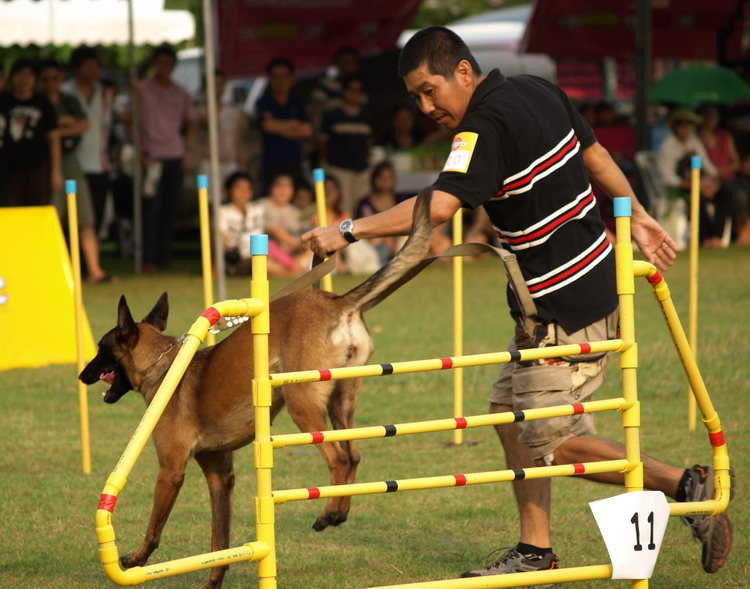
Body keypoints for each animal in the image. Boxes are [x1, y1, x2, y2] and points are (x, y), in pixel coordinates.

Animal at [80, 189, 435, 588]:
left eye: (101, 349)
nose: (81, 375)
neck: (166, 365)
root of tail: (336, 301)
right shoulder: (220, 474)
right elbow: (219, 540)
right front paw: (214, 581)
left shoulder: (170, 471)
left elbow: (155, 527)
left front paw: (137, 560)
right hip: (340, 403)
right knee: (354, 455)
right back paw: (340, 510)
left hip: (302, 405)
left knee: (339, 458)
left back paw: (328, 513)